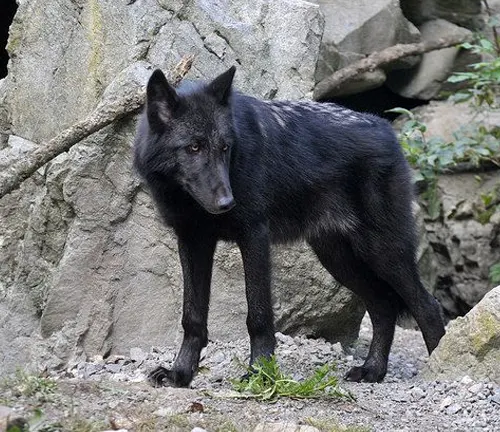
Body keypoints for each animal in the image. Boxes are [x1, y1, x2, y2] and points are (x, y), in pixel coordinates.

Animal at [134, 66, 446, 386]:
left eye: (224, 148)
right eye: (193, 147)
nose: (227, 203)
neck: (188, 201)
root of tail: (386, 129)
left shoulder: (254, 237)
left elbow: (258, 315)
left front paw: (259, 372)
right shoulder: (192, 242)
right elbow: (192, 316)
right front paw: (180, 373)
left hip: (383, 252)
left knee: (428, 306)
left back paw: (440, 369)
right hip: (338, 259)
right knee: (383, 306)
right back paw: (372, 370)